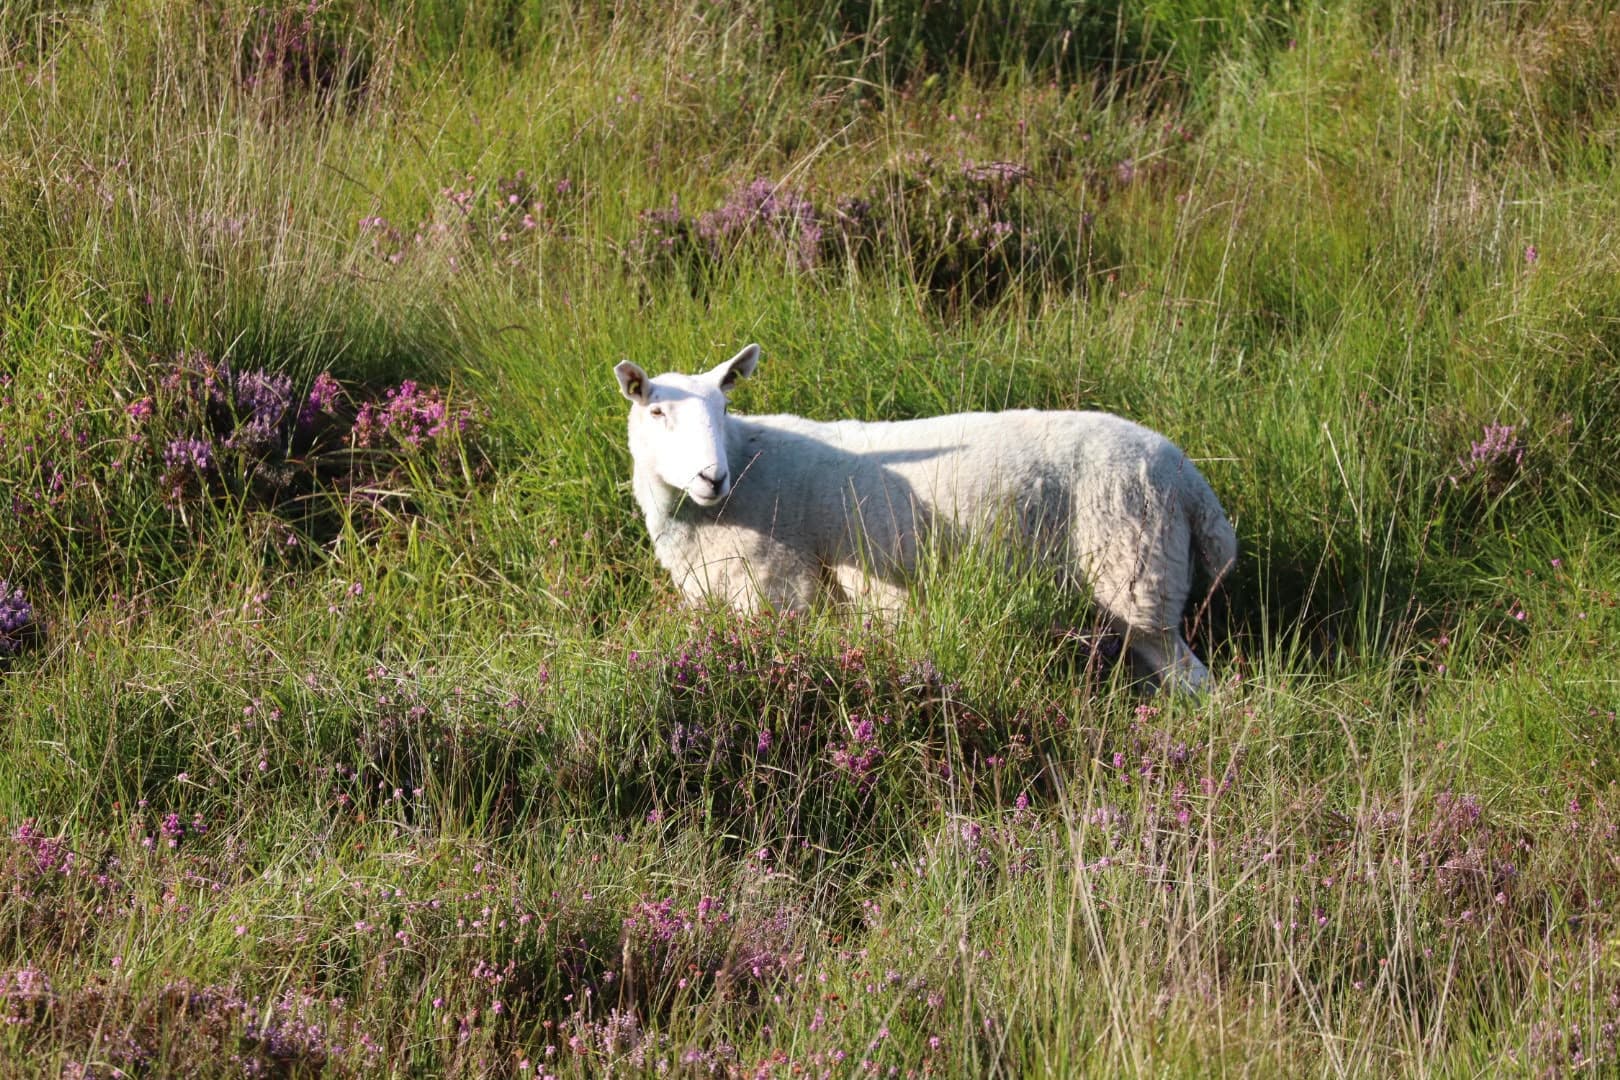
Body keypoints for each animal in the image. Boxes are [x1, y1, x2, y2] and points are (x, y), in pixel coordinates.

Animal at [613, 343, 1237, 692]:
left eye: (724, 408)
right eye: (657, 411)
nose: (711, 476)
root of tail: (1187, 476)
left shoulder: (779, 590)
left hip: (1138, 571)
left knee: (1197, 683)